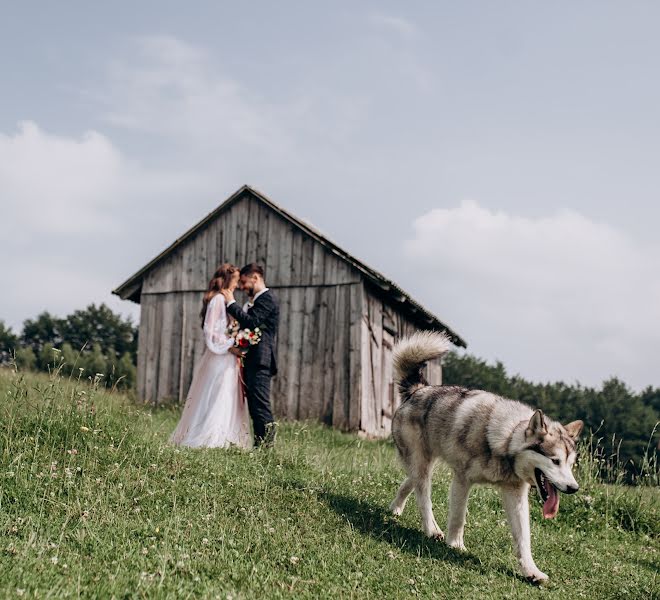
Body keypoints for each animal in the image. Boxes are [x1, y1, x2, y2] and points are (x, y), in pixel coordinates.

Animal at [390, 330, 584, 584]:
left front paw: (531, 571)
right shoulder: (461, 480)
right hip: (423, 466)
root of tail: (419, 389)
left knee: (409, 482)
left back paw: (396, 509)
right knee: (423, 497)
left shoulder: (516, 494)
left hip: (423, 465)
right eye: (555, 461)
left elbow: (524, 538)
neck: (506, 441)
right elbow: (458, 517)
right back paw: (432, 530)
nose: (573, 488)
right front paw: (455, 545)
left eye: (570, 464)